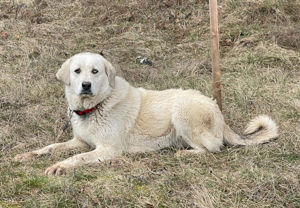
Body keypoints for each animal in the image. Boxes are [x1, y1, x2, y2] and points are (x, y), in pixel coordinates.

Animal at [15, 52, 278, 176]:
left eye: (95, 71)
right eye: (77, 71)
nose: (86, 85)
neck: (96, 106)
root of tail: (218, 111)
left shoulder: (107, 149)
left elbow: (76, 158)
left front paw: (60, 166)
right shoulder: (80, 141)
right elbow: (51, 147)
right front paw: (30, 155)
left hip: (181, 112)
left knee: (212, 148)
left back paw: (184, 154)